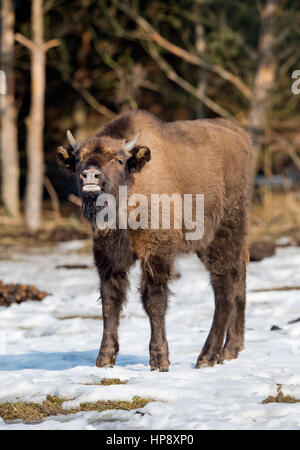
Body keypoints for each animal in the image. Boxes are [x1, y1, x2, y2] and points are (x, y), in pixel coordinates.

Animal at [57, 108, 252, 370]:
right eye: (78, 159)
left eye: (118, 160)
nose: (91, 176)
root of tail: (242, 137)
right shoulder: (109, 256)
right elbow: (110, 301)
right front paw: (105, 358)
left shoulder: (157, 252)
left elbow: (154, 301)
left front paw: (160, 360)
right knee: (238, 282)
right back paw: (230, 350)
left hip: (222, 237)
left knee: (224, 290)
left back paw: (207, 357)